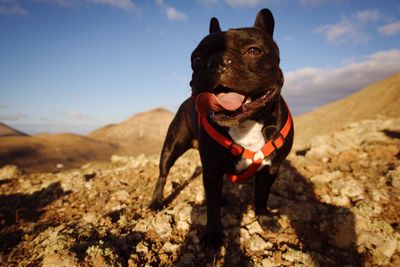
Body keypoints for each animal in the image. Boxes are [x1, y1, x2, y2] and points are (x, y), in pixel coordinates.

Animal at [150, 9, 294, 250]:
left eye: (253, 50)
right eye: (196, 59)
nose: (216, 61)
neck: (246, 124)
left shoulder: (270, 168)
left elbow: (261, 196)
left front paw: (264, 218)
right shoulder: (211, 168)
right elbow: (212, 206)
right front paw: (213, 234)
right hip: (172, 147)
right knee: (163, 174)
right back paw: (156, 202)